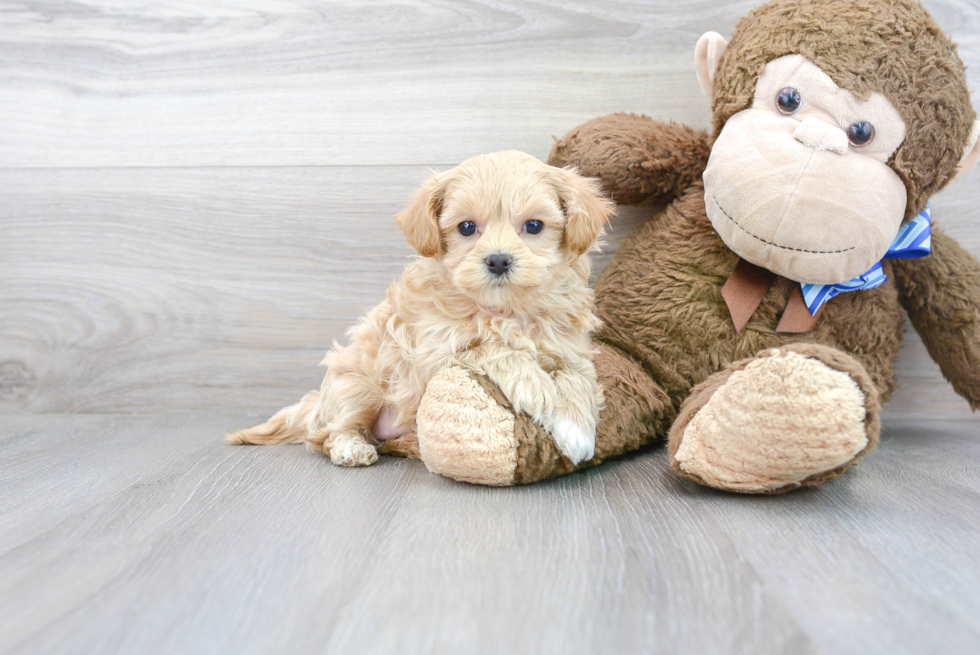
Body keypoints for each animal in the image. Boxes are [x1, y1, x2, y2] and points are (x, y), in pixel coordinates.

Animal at [229, 150, 612, 466]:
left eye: (534, 225)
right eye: (467, 227)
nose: (499, 260)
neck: (505, 311)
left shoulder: (568, 347)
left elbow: (577, 376)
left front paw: (576, 426)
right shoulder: (438, 352)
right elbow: (497, 349)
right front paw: (542, 394)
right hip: (355, 385)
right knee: (326, 435)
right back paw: (352, 448)